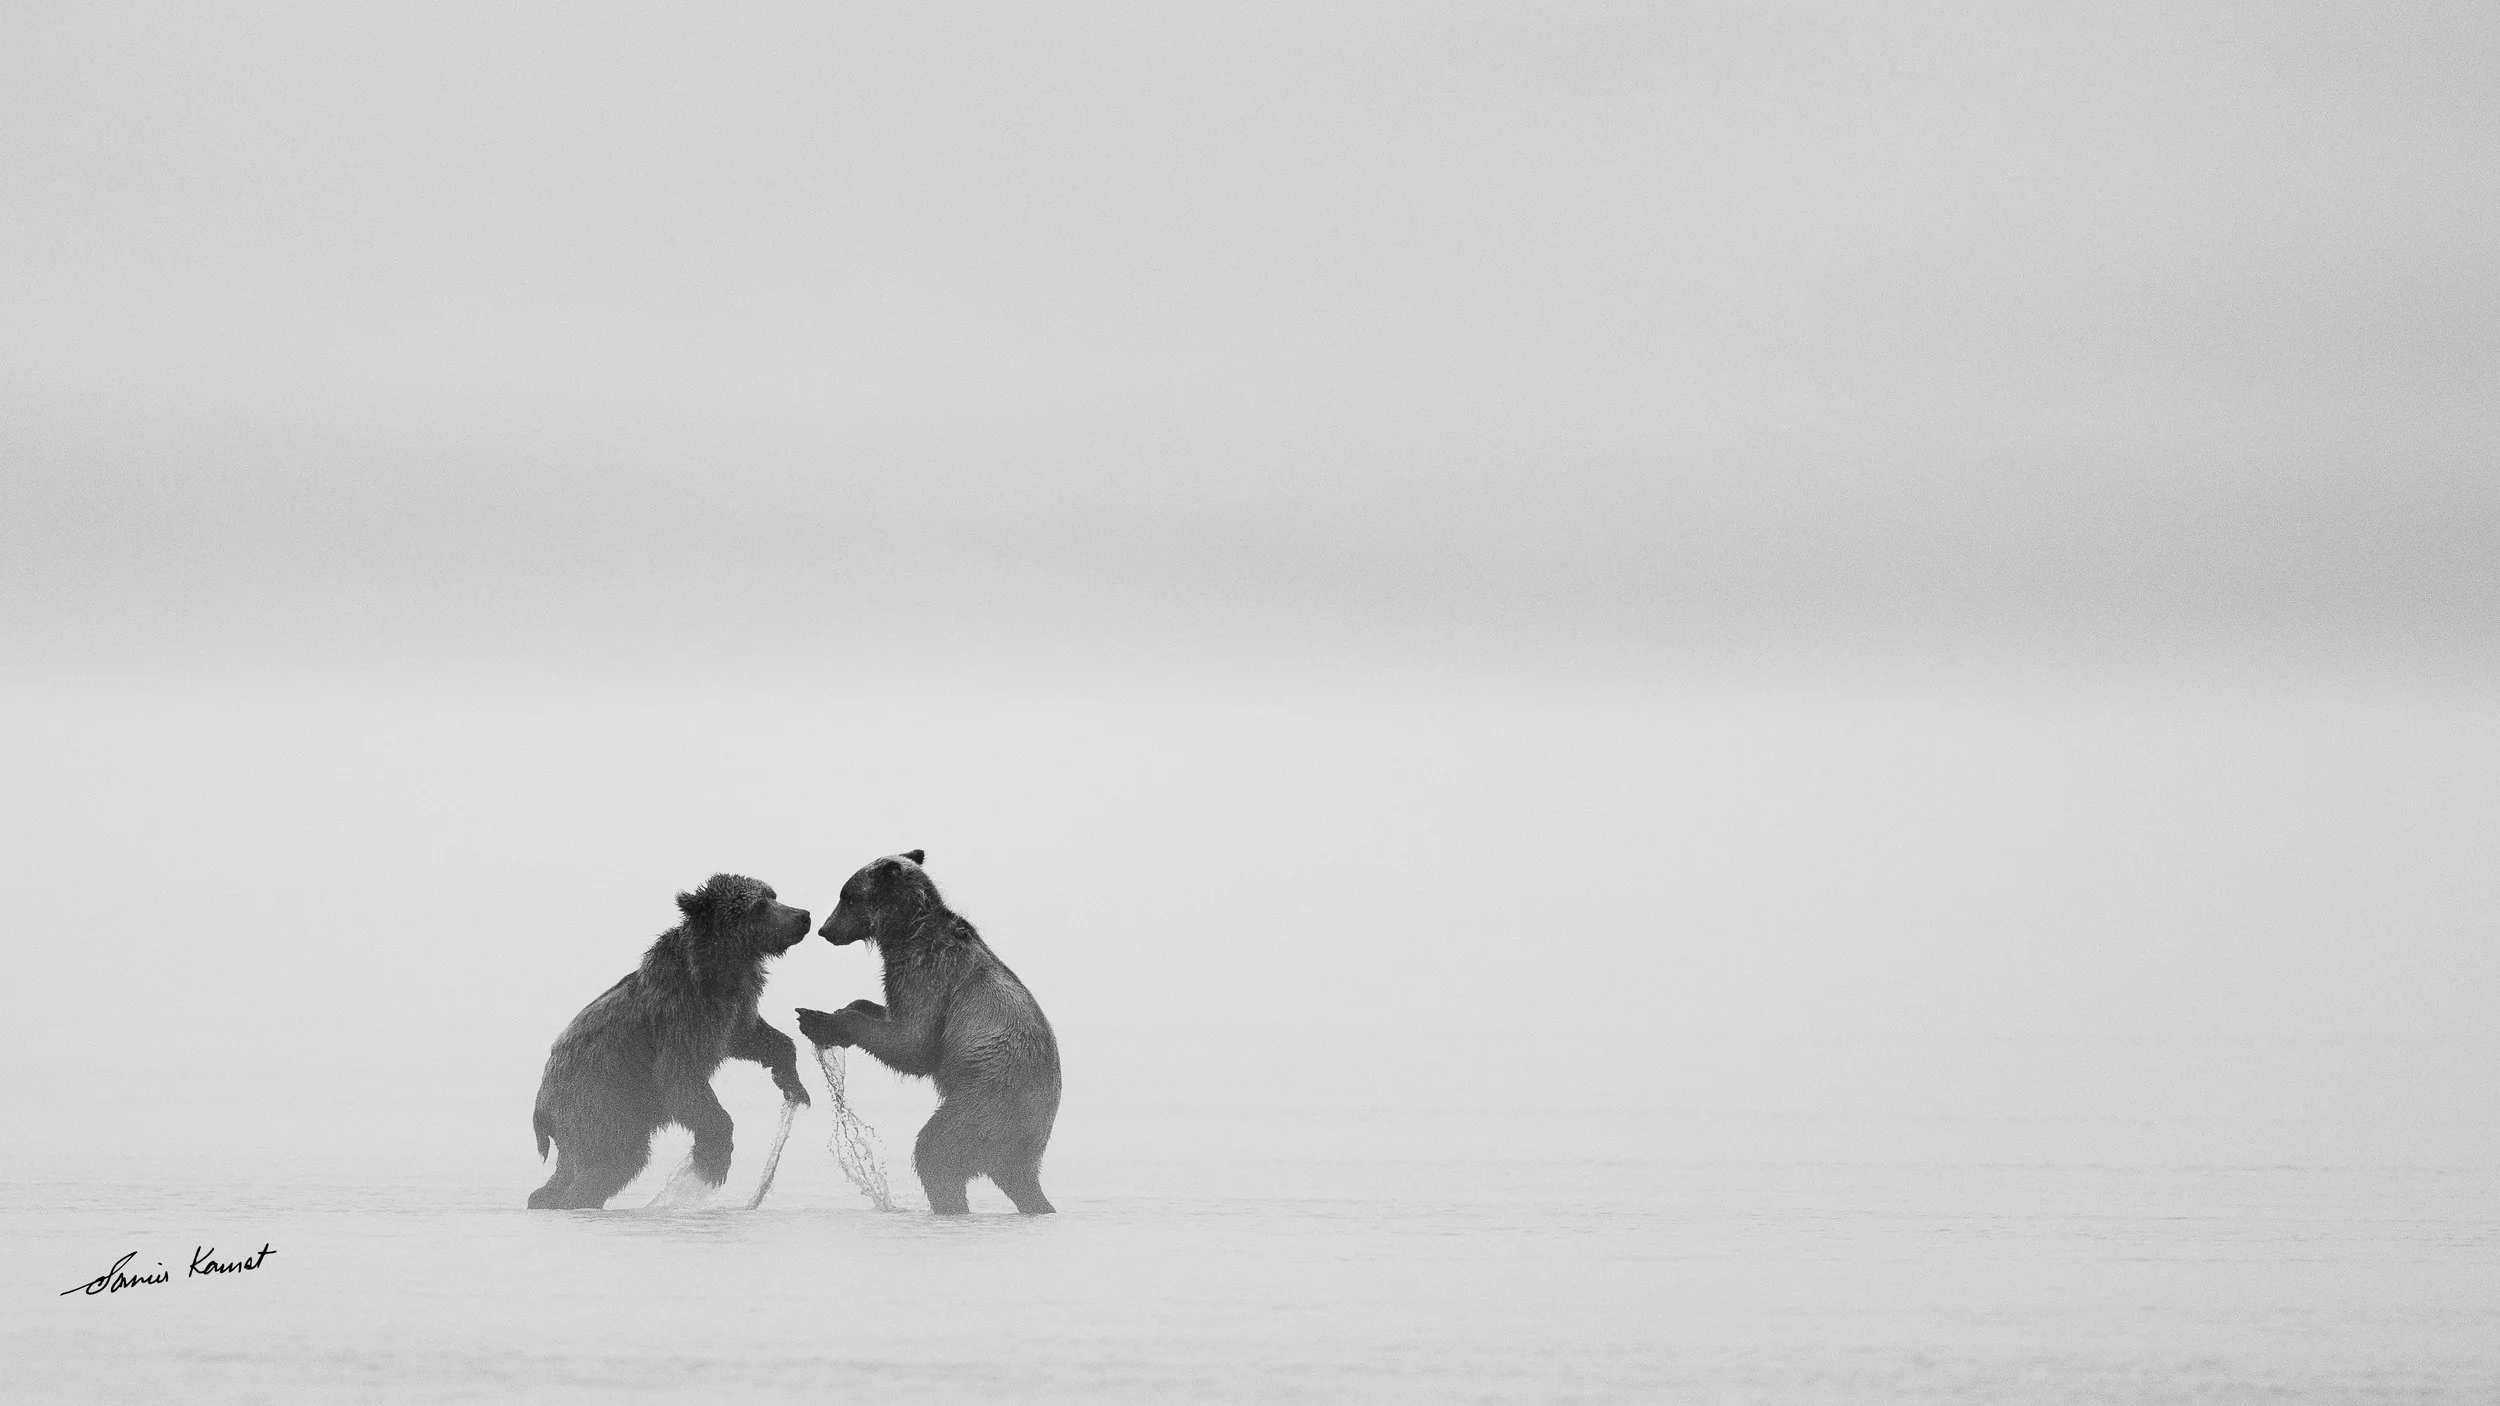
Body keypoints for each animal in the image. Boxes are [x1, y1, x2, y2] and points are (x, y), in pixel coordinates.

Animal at [528, 873, 813, 1209]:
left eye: (773, 895)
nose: (803, 916)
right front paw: (712, 1159)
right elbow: (680, 1079)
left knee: (580, 1168)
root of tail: (540, 1107)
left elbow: (755, 1038)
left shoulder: (732, 1009)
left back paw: (545, 1198)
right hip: (599, 1101)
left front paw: (793, 1083)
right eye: (758, 905)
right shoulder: (678, 1017)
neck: (721, 970)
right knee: (613, 1159)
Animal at [795, 850, 1062, 1215]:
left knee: (936, 1150)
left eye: (847, 896)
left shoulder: (928, 971)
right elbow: (890, 1016)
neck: (905, 931)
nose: (825, 929)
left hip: (985, 1101)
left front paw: (817, 1019)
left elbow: (914, 1044)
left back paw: (949, 1202)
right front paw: (846, 1007)